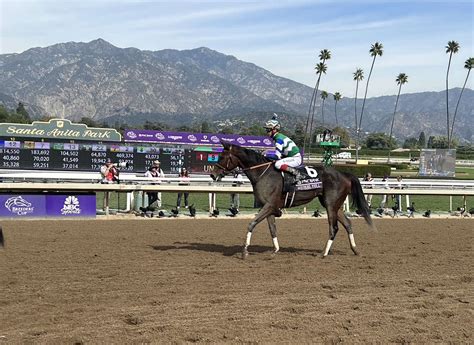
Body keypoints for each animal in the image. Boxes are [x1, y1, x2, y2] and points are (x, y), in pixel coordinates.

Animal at [212, 142, 374, 258]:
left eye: (222, 157)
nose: (213, 175)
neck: (263, 173)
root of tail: (345, 174)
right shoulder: (269, 207)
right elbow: (272, 229)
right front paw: (275, 250)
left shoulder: (269, 205)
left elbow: (252, 224)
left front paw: (245, 251)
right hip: (335, 206)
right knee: (348, 224)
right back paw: (355, 250)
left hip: (330, 205)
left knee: (334, 228)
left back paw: (324, 253)